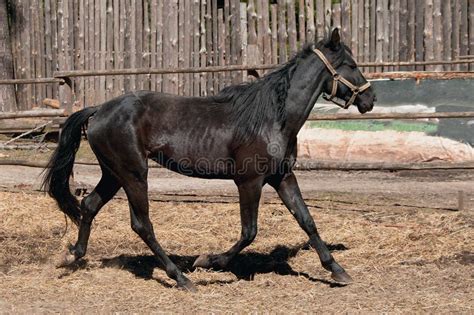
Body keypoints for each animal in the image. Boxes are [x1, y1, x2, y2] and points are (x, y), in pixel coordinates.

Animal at [43, 28, 374, 292]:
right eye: (352, 65)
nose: (370, 100)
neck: (272, 118)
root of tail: (98, 110)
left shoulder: (282, 177)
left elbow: (307, 221)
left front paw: (338, 271)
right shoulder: (249, 181)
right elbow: (249, 232)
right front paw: (209, 261)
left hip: (114, 173)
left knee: (89, 205)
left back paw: (71, 256)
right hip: (134, 174)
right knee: (141, 224)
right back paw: (181, 278)